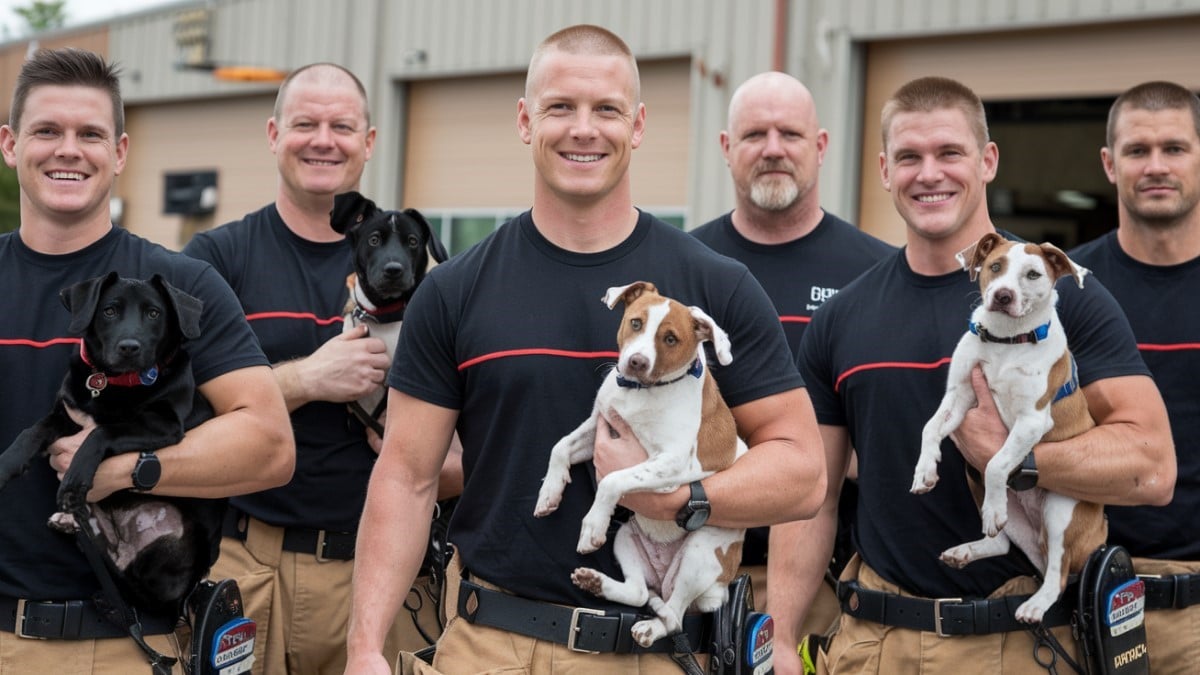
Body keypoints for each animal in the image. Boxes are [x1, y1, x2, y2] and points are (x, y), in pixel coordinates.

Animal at [0, 270, 220, 612]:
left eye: (154, 313)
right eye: (109, 311)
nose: (129, 347)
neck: (113, 382)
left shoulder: (164, 425)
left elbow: (101, 432)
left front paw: (74, 479)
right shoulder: (66, 414)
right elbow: (32, 431)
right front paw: (5, 465)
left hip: (178, 540)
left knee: (135, 580)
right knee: (108, 551)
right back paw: (74, 522)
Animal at [532, 279, 744, 648]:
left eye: (670, 339)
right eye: (636, 323)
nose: (636, 362)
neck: (641, 392)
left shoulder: (671, 463)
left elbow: (612, 480)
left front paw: (592, 525)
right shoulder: (599, 428)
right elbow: (560, 447)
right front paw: (549, 493)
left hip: (699, 554)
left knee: (674, 614)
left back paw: (650, 629)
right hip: (626, 539)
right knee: (639, 593)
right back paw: (598, 583)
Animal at [916, 234, 1104, 624]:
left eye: (1033, 274)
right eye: (995, 267)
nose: (1002, 295)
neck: (1005, 342)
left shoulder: (1031, 420)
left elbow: (998, 463)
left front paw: (993, 502)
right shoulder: (959, 396)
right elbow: (929, 428)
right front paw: (924, 471)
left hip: (1061, 512)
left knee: (1058, 574)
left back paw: (1035, 603)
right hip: (972, 478)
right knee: (1000, 541)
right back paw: (971, 546)